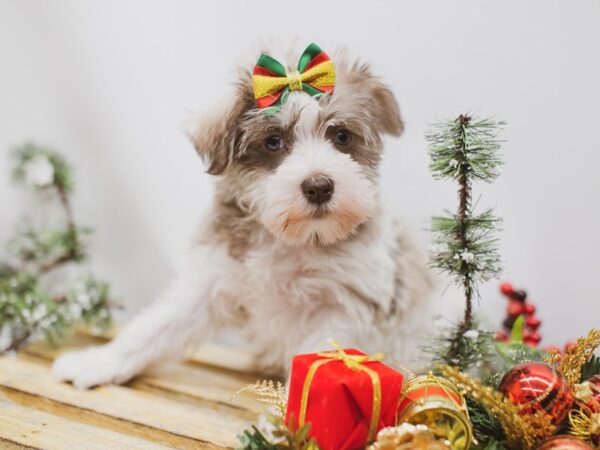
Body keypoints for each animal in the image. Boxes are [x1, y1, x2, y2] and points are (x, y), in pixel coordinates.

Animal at [51, 41, 434, 390]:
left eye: (341, 136)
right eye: (274, 142)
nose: (319, 187)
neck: (294, 240)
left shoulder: (343, 305)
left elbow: (317, 366)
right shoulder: (212, 280)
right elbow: (156, 326)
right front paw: (99, 362)